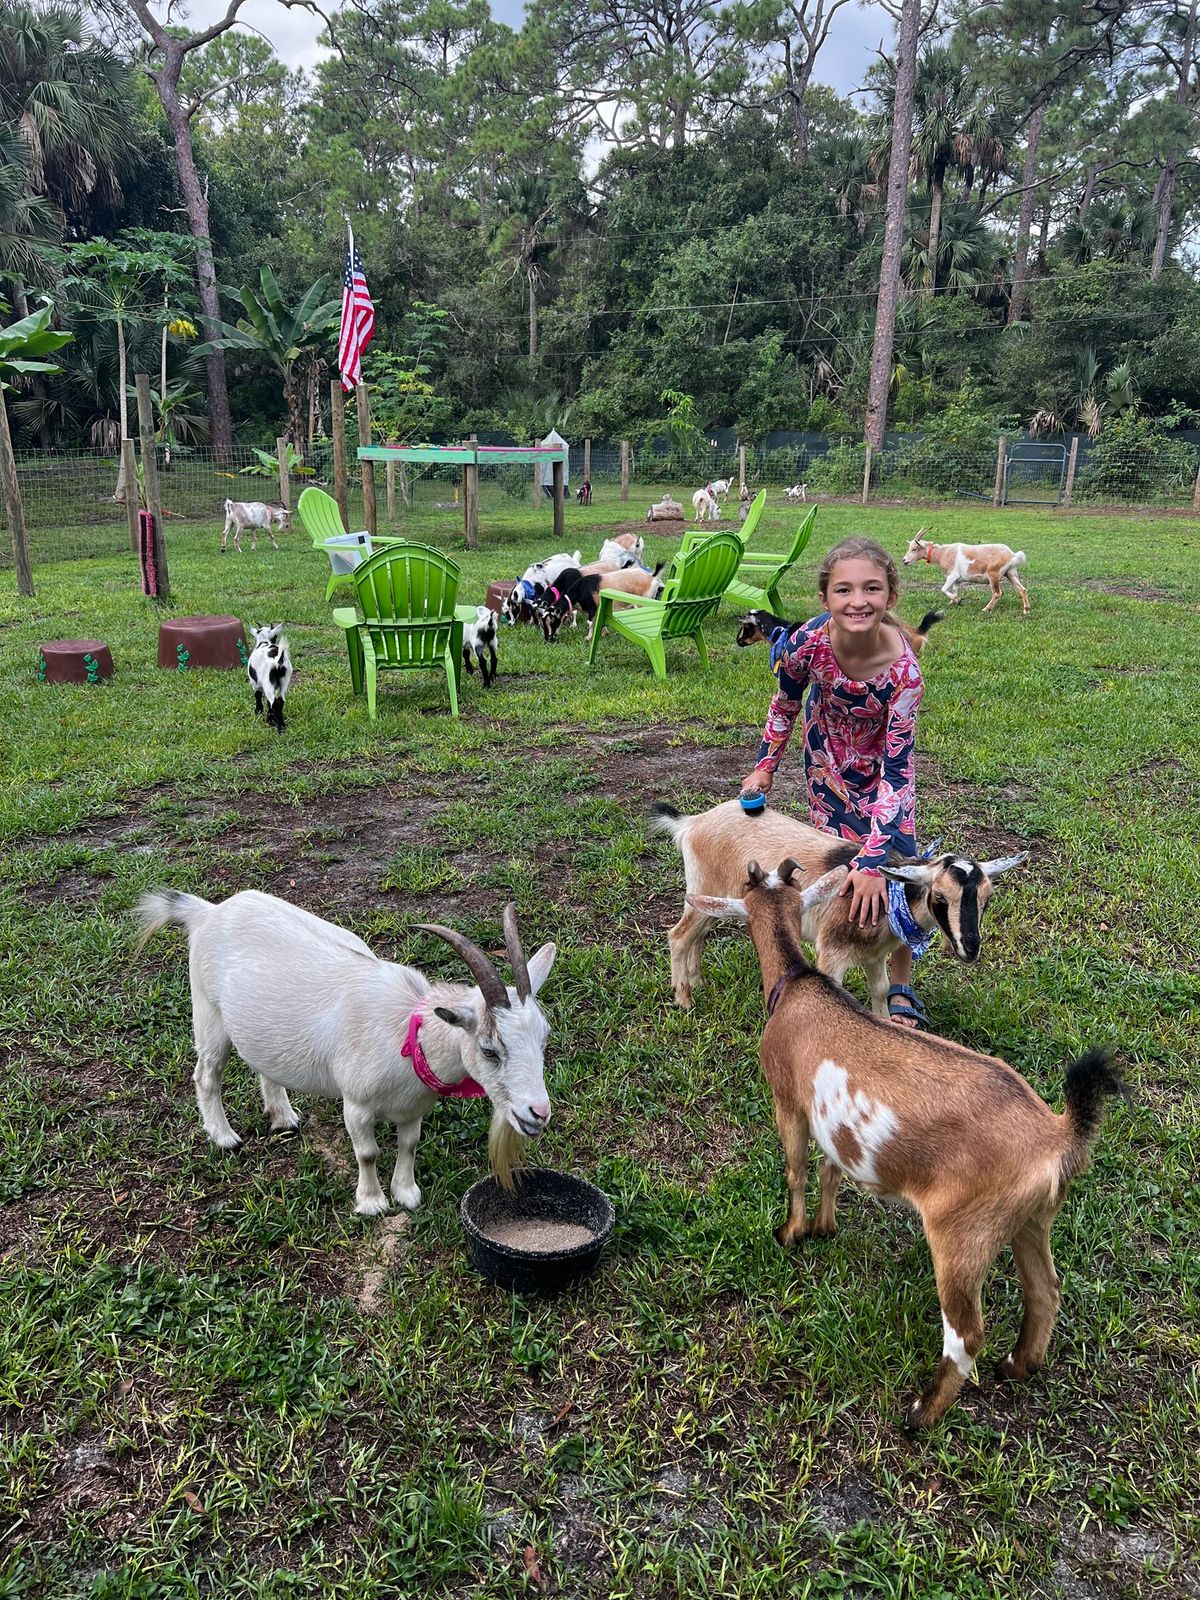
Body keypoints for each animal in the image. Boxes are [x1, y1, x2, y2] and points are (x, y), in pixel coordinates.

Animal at [136, 889, 560, 1209]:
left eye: (544, 1038)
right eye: (489, 1050)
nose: (538, 1113)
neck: (409, 1038)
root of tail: (207, 912)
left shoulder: (414, 1108)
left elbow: (408, 1145)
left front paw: (406, 1195)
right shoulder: (356, 1105)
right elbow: (367, 1153)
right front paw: (372, 1203)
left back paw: (283, 1117)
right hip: (208, 1014)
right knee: (206, 1074)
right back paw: (224, 1137)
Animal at [652, 800, 1030, 1011]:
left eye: (987, 898)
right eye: (939, 897)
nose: (970, 949)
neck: (885, 898)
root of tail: (691, 823)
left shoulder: (875, 955)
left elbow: (881, 990)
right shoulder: (831, 951)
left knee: (698, 935)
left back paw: (698, 981)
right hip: (705, 887)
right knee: (679, 935)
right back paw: (684, 999)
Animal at [694, 857, 1126, 1433]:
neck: (797, 985)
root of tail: (1058, 1135)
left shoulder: (789, 1102)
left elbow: (796, 1168)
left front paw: (792, 1234)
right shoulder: (835, 1125)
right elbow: (832, 1169)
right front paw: (827, 1228)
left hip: (961, 1234)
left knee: (966, 1333)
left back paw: (921, 1414)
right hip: (1031, 1219)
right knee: (1045, 1290)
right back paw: (1017, 1366)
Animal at [902, 534, 1036, 614]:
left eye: (914, 548)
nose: (904, 560)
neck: (944, 553)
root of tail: (1012, 554)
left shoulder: (952, 576)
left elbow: (943, 589)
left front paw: (956, 600)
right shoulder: (957, 580)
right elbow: (955, 590)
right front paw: (954, 602)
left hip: (993, 575)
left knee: (997, 593)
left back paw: (986, 609)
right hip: (1011, 573)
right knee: (1022, 589)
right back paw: (1026, 610)